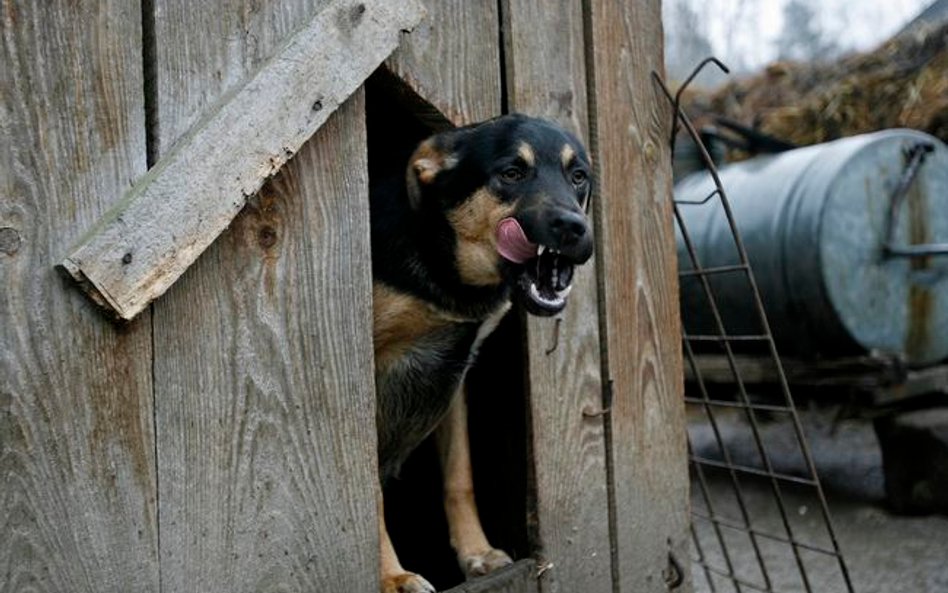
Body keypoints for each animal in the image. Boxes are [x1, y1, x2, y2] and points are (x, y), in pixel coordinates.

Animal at [370, 113, 592, 588]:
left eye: (578, 176)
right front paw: (393, 578)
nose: (574, 227)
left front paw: (477, 552)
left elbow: (459, 476)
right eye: (511, 173)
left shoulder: (453, 378)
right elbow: (370, 494)